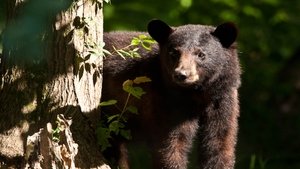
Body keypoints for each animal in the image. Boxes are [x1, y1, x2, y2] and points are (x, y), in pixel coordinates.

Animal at [103, 19, 241, 169]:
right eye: (174, 53)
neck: (197, 94)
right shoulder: (165, 101)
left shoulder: (222, 98)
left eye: (201, 54)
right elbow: (171, 144)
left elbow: (220, 140)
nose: (181, 74)